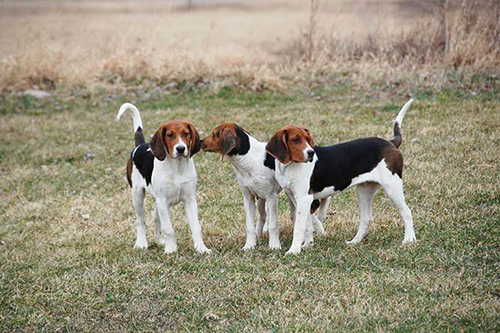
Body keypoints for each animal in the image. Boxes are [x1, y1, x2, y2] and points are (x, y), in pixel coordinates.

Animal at [115, 102, 211, 253]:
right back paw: (141, 243)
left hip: (160, 202)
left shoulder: (189, 200)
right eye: (170, 135)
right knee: (141, 220)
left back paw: (159, 240)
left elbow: (196, 227)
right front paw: (171, 249)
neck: (177, 167)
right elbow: (168, 228)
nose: (180, 149)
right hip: (138, 195)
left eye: (186, 133)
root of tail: (140, 145)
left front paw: (201, 248)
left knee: (155, 217)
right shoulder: (162, 200)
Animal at [268, 98, 416, 254]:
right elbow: (307, 225)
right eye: (295, 140)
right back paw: (355, 242)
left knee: (406, 212)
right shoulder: (298, 199)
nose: (311, 153)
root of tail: (390, 143)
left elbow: (299, 227)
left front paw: (294, 251)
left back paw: (409, 240)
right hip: (365, 190)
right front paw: (307, 245)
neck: (290, 166)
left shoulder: (304, 198)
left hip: (392, 187)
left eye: (308, 140)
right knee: (366, 218)